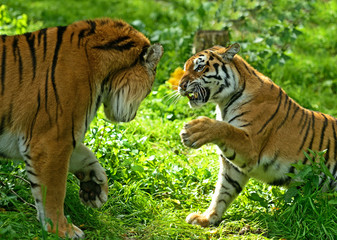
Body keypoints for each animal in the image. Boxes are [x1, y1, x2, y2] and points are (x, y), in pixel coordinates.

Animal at [0, 17, 163, 238]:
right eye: (148, 91)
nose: (133, 116)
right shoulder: (50, 141)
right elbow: (54, 191)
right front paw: (61, 229)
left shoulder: (58, 137)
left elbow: (86, 154)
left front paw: (94, 186)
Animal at [177, 42, 336, 227]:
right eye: (185, 68)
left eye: (200, 67)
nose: (181, 86)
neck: (223, 102)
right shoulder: (232, 166)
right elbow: (223, 191)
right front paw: (207, 218)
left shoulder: (251, 146)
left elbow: (226, 128)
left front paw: (194, 131)